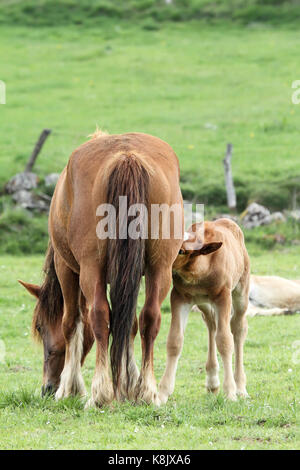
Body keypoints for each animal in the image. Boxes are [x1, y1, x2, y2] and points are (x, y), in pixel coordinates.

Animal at [19, 132, 183, 408]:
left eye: (40, 327)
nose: (47, 388)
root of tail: (127, 157)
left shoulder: (66, 269)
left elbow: (71, 323)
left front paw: (70, 388)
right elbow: (128, 324)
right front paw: (128, 386)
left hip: (90, 269)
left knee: (98, 315)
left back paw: (100, 394)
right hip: (160, 268)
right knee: (150, 317)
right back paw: (147, 392)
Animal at [159, 218, 251, 402]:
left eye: (181, 251)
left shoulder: (223, 296)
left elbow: (225, 341)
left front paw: (230, 393)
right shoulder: (180, 297)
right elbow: (174, 340)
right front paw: (162, 394)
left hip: (241, 291)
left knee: (238, 327)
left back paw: (240, 387)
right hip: (203, 303)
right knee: (211, 325)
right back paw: (212, 383)